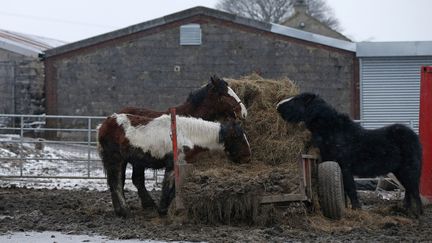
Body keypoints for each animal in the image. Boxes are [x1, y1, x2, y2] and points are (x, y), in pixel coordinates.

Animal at [97, 112, 250, 216]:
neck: (186, 134)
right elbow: (168, 186)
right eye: (238, 137)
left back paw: (120, 211)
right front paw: (163, 210)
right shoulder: (173, 165)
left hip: (121, 162)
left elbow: (175, 187)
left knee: (116, 183)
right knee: (116, 184)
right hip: (115, 160)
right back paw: (125, 211)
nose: (247, 157)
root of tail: (103, 125)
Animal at [276, 93, 422, 216]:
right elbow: (345, 191)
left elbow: (351, 190)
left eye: (297, 100)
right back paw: (406, 210)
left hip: (408, 170)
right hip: (400, 171)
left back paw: (418, 214)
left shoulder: (345, 168)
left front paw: (357, 209)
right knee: (409, 190)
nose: (278, 106)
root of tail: (414, 136)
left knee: (414, 191)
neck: (333, 131)